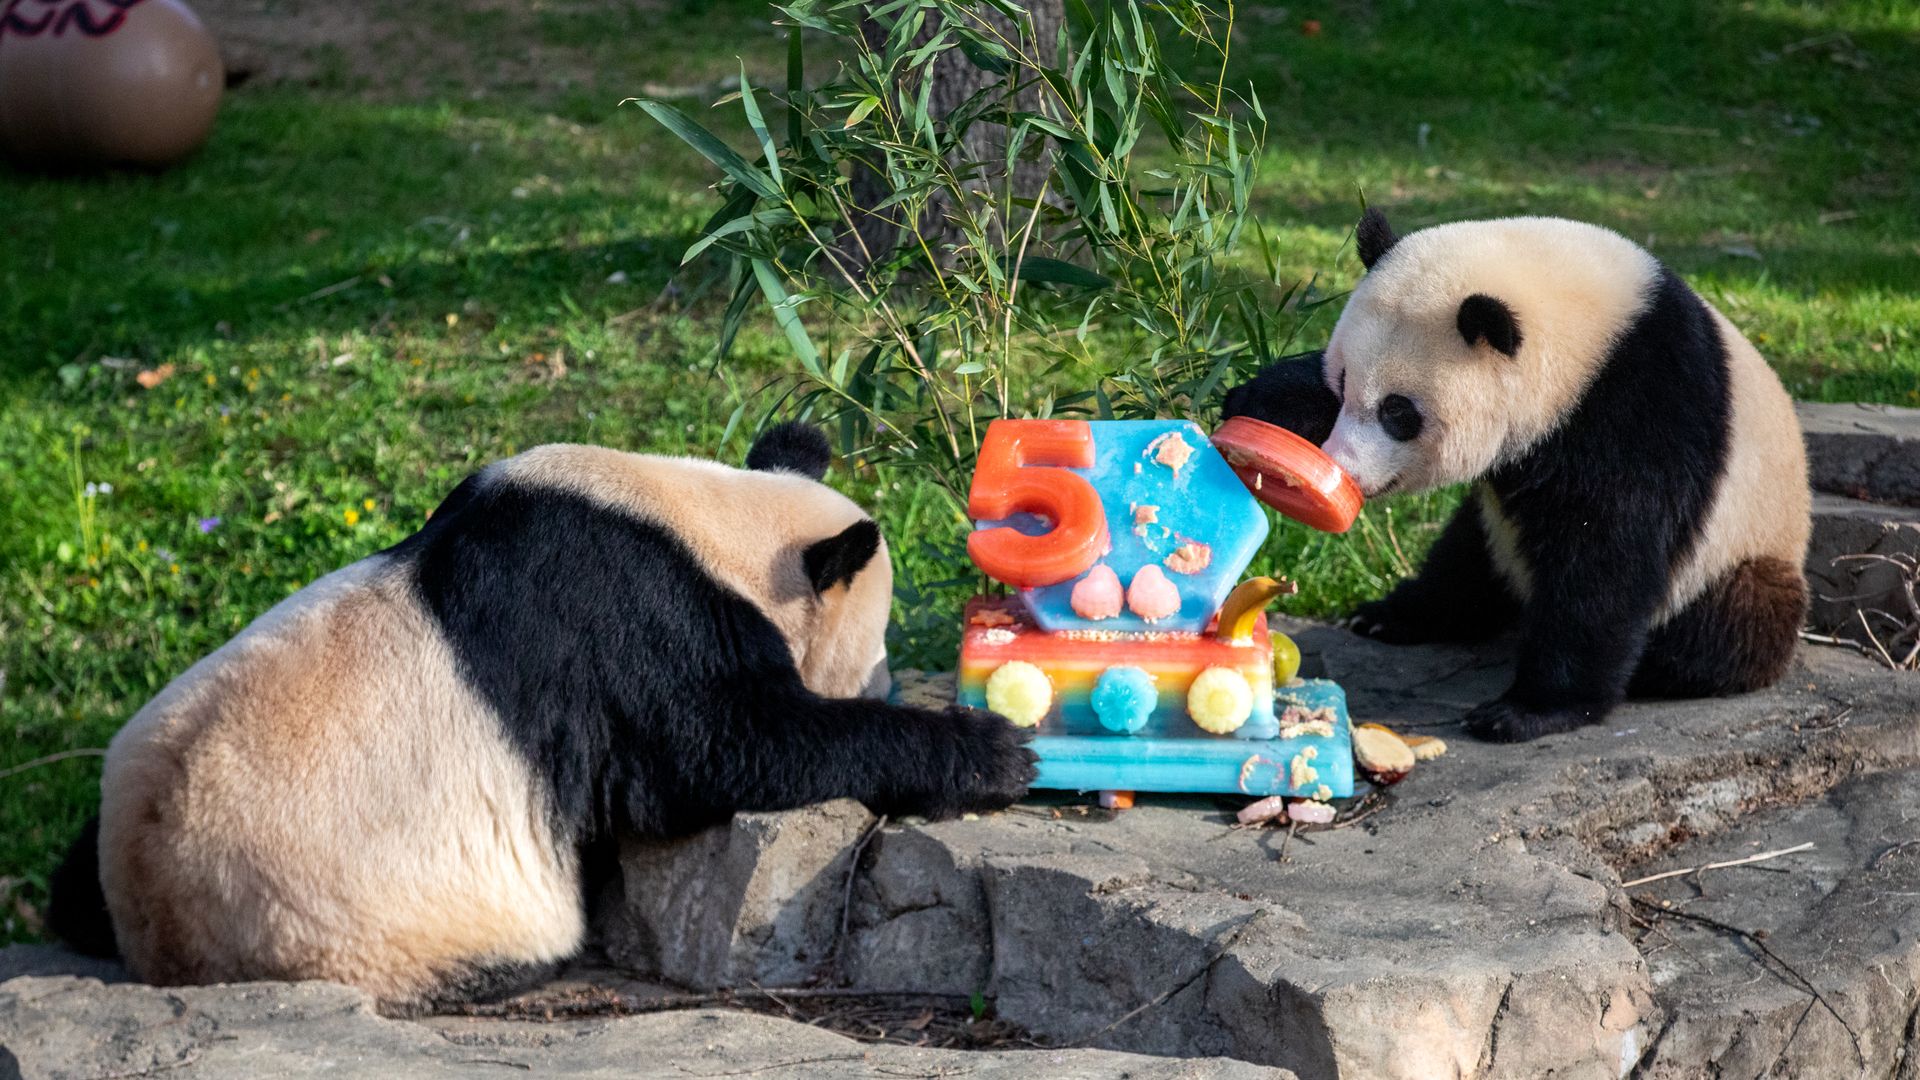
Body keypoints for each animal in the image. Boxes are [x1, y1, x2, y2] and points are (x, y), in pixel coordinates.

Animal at [45, 424, 1036, 1014]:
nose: (889, 682)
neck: (705, 522)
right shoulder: (631, 627)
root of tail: (158, 936)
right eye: (875, 644)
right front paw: (989, 755)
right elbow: (722, 750)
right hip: (372, 923)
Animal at [1221, 214, 1804, 745]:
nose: (1345, 464)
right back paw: (1394, 615)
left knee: (1733, 622)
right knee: (1465, 561)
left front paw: (1528, 711)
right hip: (1495, 530)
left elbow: (1609, 553)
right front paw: (1258, 401)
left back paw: (1659, 668)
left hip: (1740, 554)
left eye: (1398, 412)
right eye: (1341, 383)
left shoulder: (1642, 404)